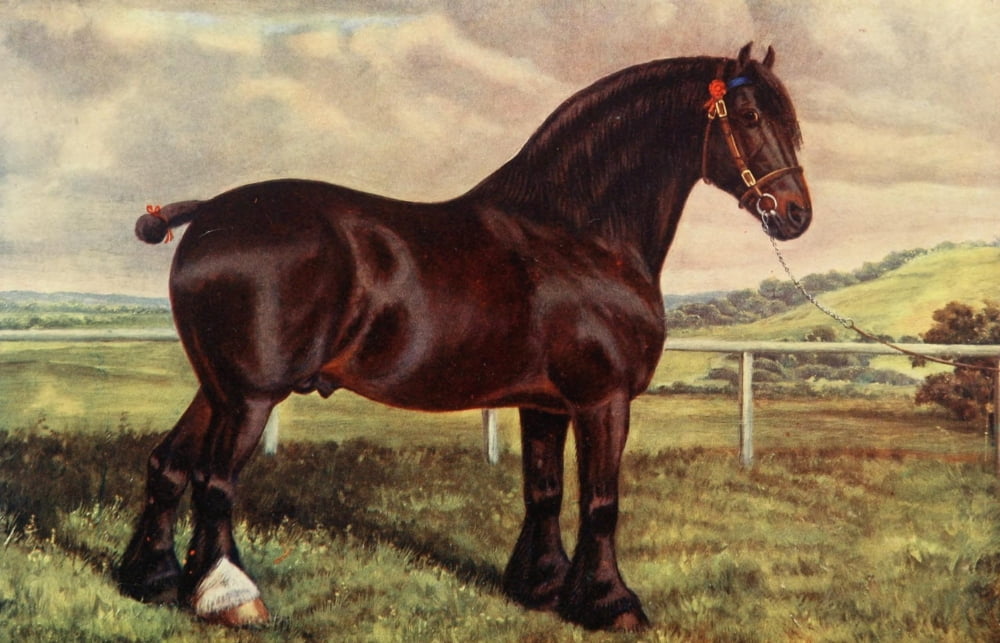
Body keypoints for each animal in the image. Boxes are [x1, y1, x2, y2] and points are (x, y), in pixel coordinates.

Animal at [118, 43, 811, 632]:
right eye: (749, 115)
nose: (795, 213)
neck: (579, 234)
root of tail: (207, 216)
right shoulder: (603, 400)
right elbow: (601, 501)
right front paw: (612, 604)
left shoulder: (545, 404)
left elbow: (544, 490)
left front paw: (540, 587)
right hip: (252, 395)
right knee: (214, 481)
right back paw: (234, 599)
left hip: (218, 388)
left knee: (168, 465)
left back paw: (152, 580)